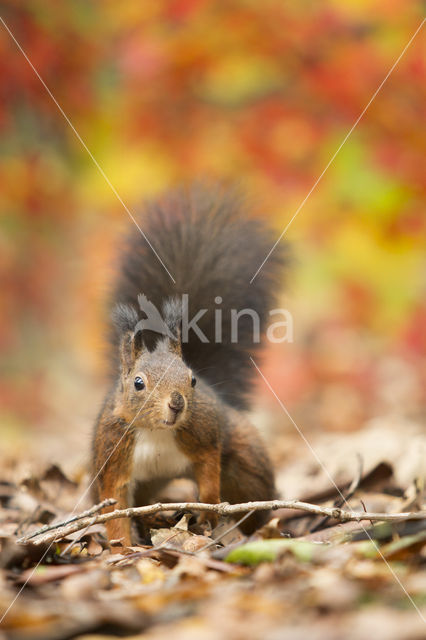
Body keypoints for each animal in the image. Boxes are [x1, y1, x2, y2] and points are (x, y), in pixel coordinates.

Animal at [92, 186, 286, 544]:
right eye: (138, 383)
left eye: (192, 379)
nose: (177, 404)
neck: (155, 432)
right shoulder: (113, 453)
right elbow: (115, 506)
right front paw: (121, 548)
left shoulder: (203, 432)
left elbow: (209, 472)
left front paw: (206, 509)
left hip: (245, 465)